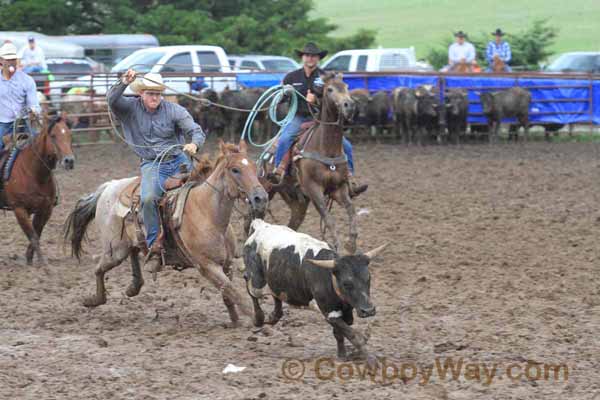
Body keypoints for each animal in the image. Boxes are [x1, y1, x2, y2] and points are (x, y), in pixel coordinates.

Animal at [1, 114, 74, 266]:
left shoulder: (46, 209)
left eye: (70, 135)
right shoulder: (19, 209)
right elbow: (33, 235)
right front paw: (42, 262)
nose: (69, 161)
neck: (34, 173)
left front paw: (30, 258)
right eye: (53, 136)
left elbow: (37, 233)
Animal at [63, 142, 268, 326]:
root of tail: (109, 186)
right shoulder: (207, 266)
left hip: (127, 244)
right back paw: (94, 300)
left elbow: (229, 293)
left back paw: (134, 286)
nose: (261, 198)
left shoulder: (228, 263)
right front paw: (257, 318)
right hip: (115, 250)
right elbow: (233, 291)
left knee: (134, 252)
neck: (206, 211)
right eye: (235, 169)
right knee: (99, 268)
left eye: (254, 166)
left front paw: (235, 320)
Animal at [243, 219, 386, 362]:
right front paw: (371, 360)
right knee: (251, 288)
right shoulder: (329, 312)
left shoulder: (344, 313)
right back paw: (259, 318)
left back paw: (273, 316)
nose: (368, 311)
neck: (329, 278)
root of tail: (259, 225)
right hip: (257, 282)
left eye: (368, 278)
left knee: (276, 296)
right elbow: (353, 335)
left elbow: (339, 333)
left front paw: (341, 355)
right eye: (346, 283)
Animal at [262, 72, 356, 253]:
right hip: (264, 189)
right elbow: (328, 219)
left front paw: (351, 244)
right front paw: (338, 248)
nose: (349, 105)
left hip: (297, 200)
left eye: (347, 87)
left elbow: (351, 210)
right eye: (330, 89)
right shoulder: (314, 189)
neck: (326, 147)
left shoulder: (339, 188)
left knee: (292, 224)